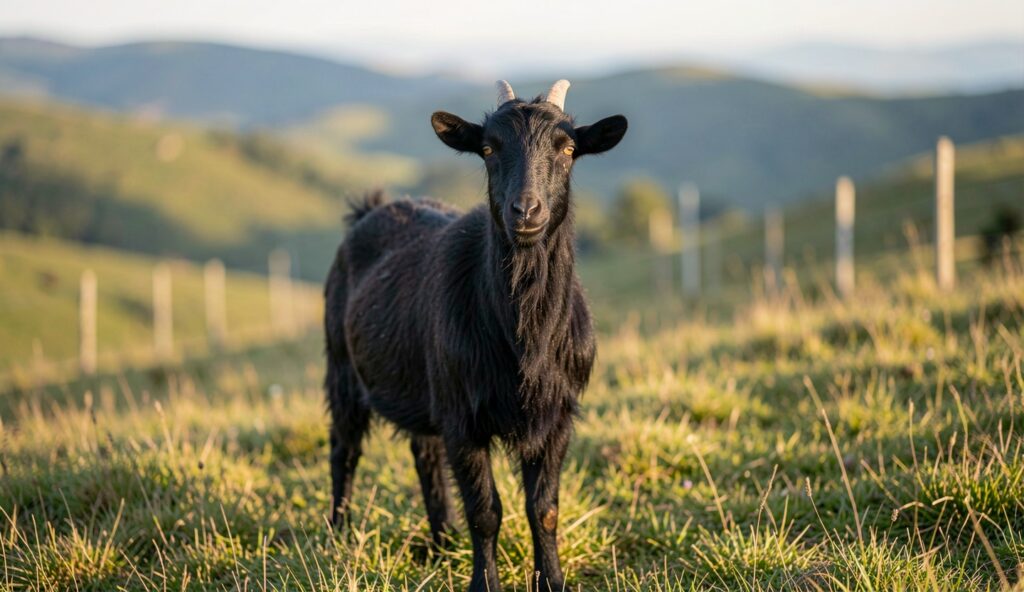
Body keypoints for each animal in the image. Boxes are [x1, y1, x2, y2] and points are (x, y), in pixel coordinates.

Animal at [324, 79, 627, 591]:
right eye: (488, 148)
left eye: (568, 149)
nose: (525, 210)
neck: (525, 338)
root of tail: (371, 208)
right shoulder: (462, 416)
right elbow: (486, 512)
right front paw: (484, 584)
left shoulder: (557, 414)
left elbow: (544, 509)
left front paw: (552, 581)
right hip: (342, 367)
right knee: (344, 450)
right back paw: (338, 533)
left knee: (423, 452)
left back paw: (441, 540)